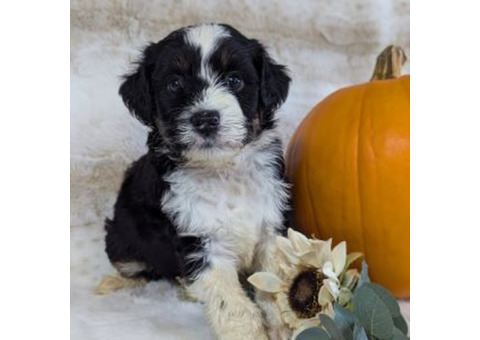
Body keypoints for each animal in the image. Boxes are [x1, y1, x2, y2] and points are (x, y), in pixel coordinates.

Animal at [101, 22, 292, 338]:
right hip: (121, 235)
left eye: (234, 80)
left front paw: (283, 325)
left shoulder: (271, 223)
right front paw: (248, 333)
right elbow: (231, 304)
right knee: (132, 266)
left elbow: (274, 282)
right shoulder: (199, 239)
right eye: (175, 84)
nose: (205, 119)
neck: (222, 170)